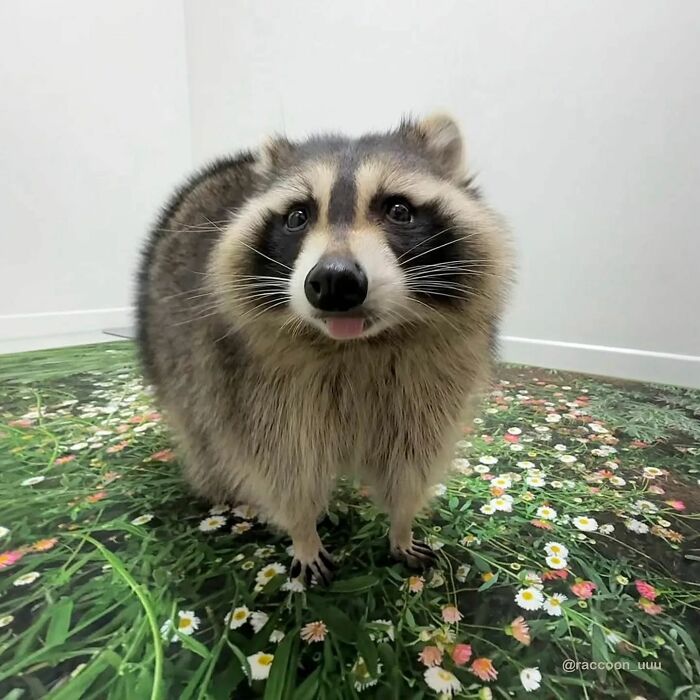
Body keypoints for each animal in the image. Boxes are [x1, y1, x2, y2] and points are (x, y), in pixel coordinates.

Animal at [137, 115, 512, 584]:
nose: (334, 280)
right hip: (174, 350)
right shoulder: (256, 382)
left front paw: (402, 523)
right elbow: (281, 465)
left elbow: (410, 460)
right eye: (297, 216)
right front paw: (303, 530)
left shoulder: (429, 380)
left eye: (399, 210)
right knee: (204, 427)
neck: (357, 344)